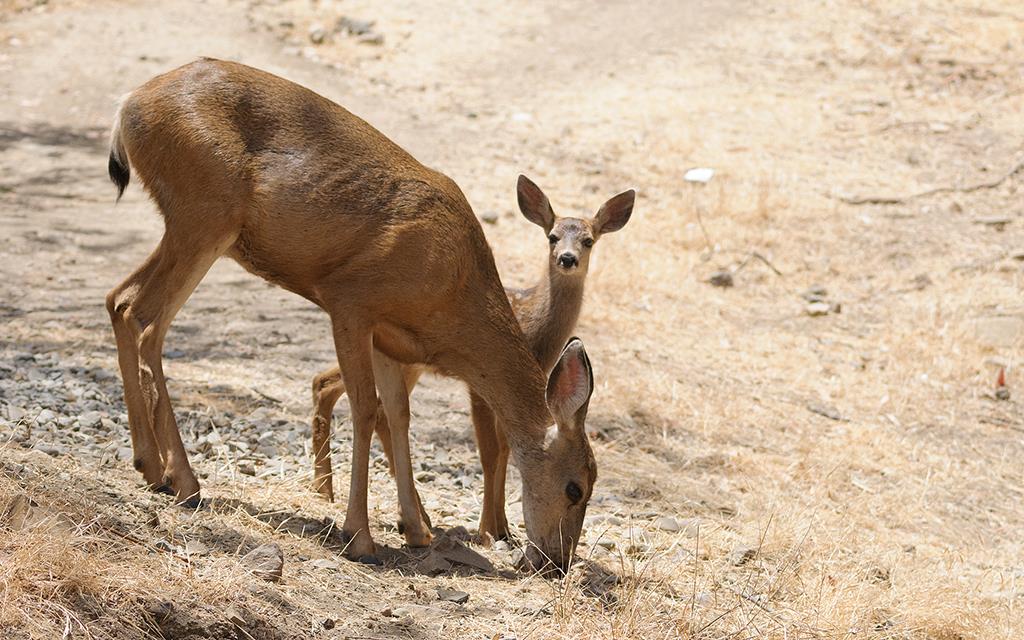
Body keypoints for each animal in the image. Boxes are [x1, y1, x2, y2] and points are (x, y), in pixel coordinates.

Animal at [101, 58, 598, 569]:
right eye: (575, 488)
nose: (557, 562)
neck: (455, 291)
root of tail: (129, 104)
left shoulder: (393, 339)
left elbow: (397, 415)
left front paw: (416, 530)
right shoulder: (351, 301)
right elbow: (365, 407)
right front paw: (359, 534)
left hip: (189, 225)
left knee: (121, 301)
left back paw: (150, 466)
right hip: (203, 216)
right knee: (146, 319)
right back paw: (183, 480)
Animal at [307, 177, 634, 540]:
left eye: (588, 240)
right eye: (553, 236)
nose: (567, 258)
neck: (535, 327)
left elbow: (508, 445)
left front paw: (501, 527)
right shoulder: (481, 381)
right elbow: (493, 451)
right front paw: (490, 530)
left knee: (344, 390)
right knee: (339, 388)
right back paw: (336, 493)